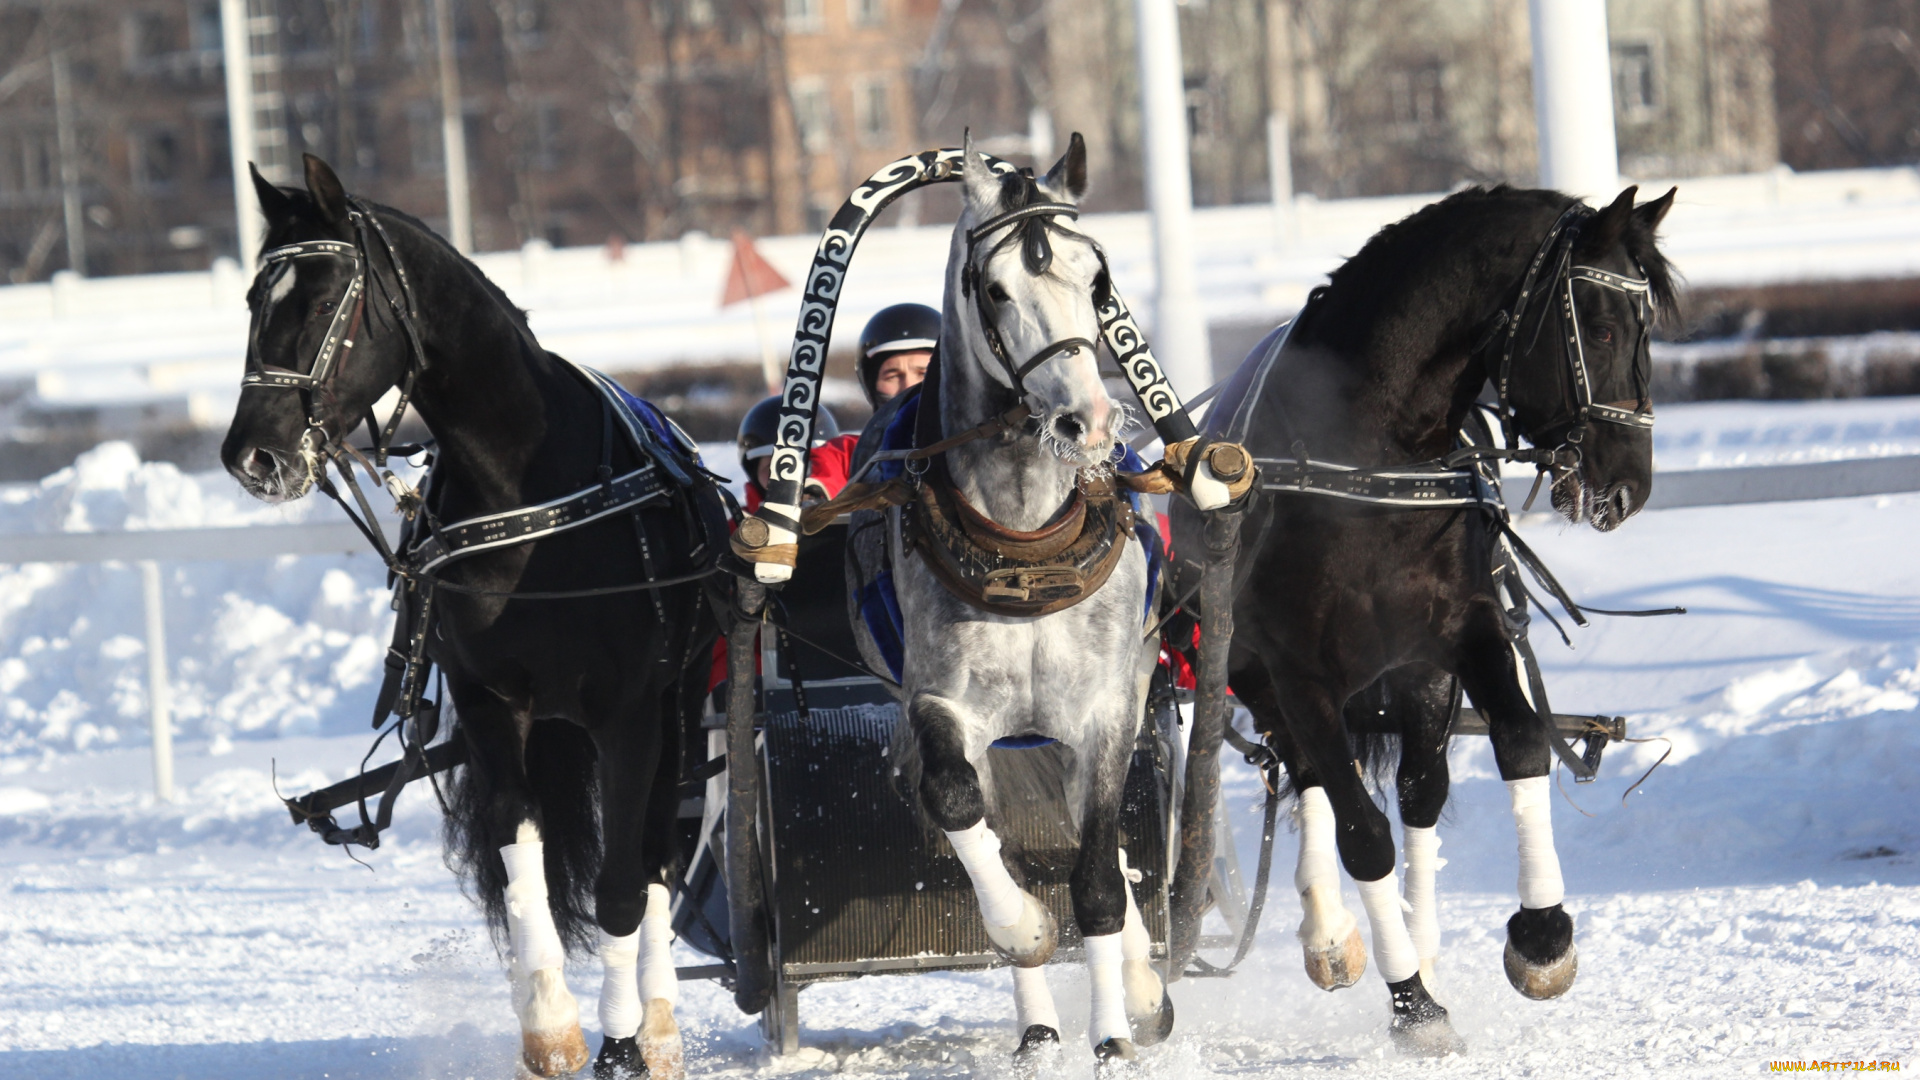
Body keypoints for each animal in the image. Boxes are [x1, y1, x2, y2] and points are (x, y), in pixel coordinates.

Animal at [222, 155, 721, 1068]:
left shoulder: (631, 712)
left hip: (679, 709)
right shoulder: (494, 706)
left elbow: (623, 887)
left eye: (322, 300)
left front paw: (623, 1041)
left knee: (659, 858)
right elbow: (522, 857)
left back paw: (660, 1024)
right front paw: (551, 1030)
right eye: (253, 301)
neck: (525, 487)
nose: (251, 456)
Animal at [1159, 184, 1674, 1053]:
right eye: (1601, 328)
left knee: (1417, 792)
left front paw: (1541, 936)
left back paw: (1417, 941)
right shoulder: (1298, 671)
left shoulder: (1461, 634)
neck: (1371, 455)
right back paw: (1335, 935)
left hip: (1415, 679)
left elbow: (1518, 740)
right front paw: (1413, 1005)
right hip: (1256, 675)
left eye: (1649, 328)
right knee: (1311, 776)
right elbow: (1361, 831)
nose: (1628, 484)